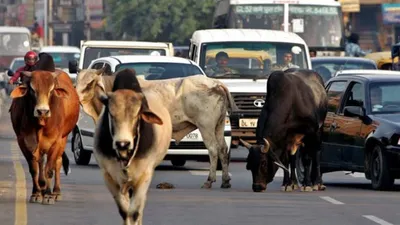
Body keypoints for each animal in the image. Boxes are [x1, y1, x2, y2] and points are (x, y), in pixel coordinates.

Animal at [9, 70, 79, 204]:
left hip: (64, 138)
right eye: (32, 89)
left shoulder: (56, 141)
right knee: (41, 162)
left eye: (51, 90)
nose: (42, 111)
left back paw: (56, 192)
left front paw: (48, 195)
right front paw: (36, 193)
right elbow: (34, 169)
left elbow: (49, 170)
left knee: (57, 162)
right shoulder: (23, 141)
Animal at [76, 67, 233, 189]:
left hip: (206, 126)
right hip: (218, 126)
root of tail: (216, 83)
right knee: (223, 149)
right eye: (77, 81)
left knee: (213, 150)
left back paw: (209, 181)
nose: (76, 98)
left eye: (90, 83)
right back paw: (225, 181)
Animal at [94, 69, 173, 224]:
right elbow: (125, 212)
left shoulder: (144, 176)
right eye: (111, 114)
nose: (122, 143)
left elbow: (135, 212)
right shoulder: (108, 176)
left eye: (137, 115)